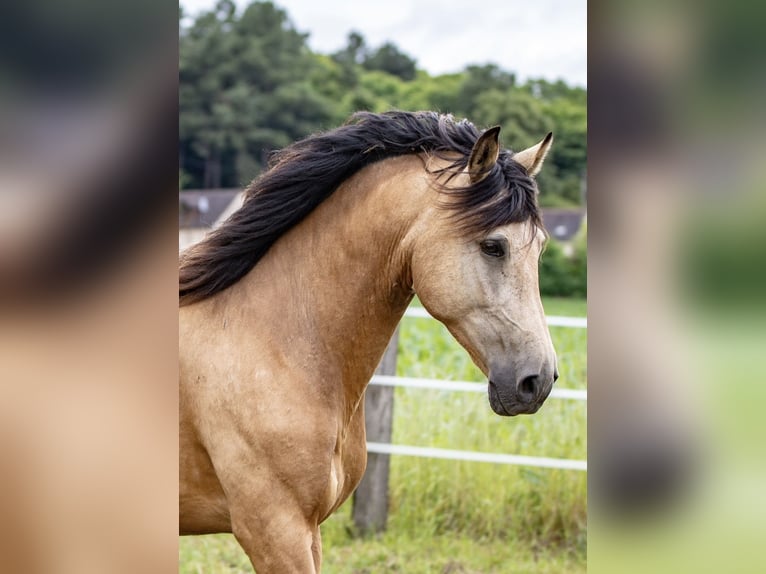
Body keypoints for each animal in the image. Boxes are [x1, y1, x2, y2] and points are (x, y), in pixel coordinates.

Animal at [182, 111, 564, 572]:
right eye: (494, 246)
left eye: (540, 248)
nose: (537, 380)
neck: (271, 342)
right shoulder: (275, 533)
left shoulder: (310, 532)